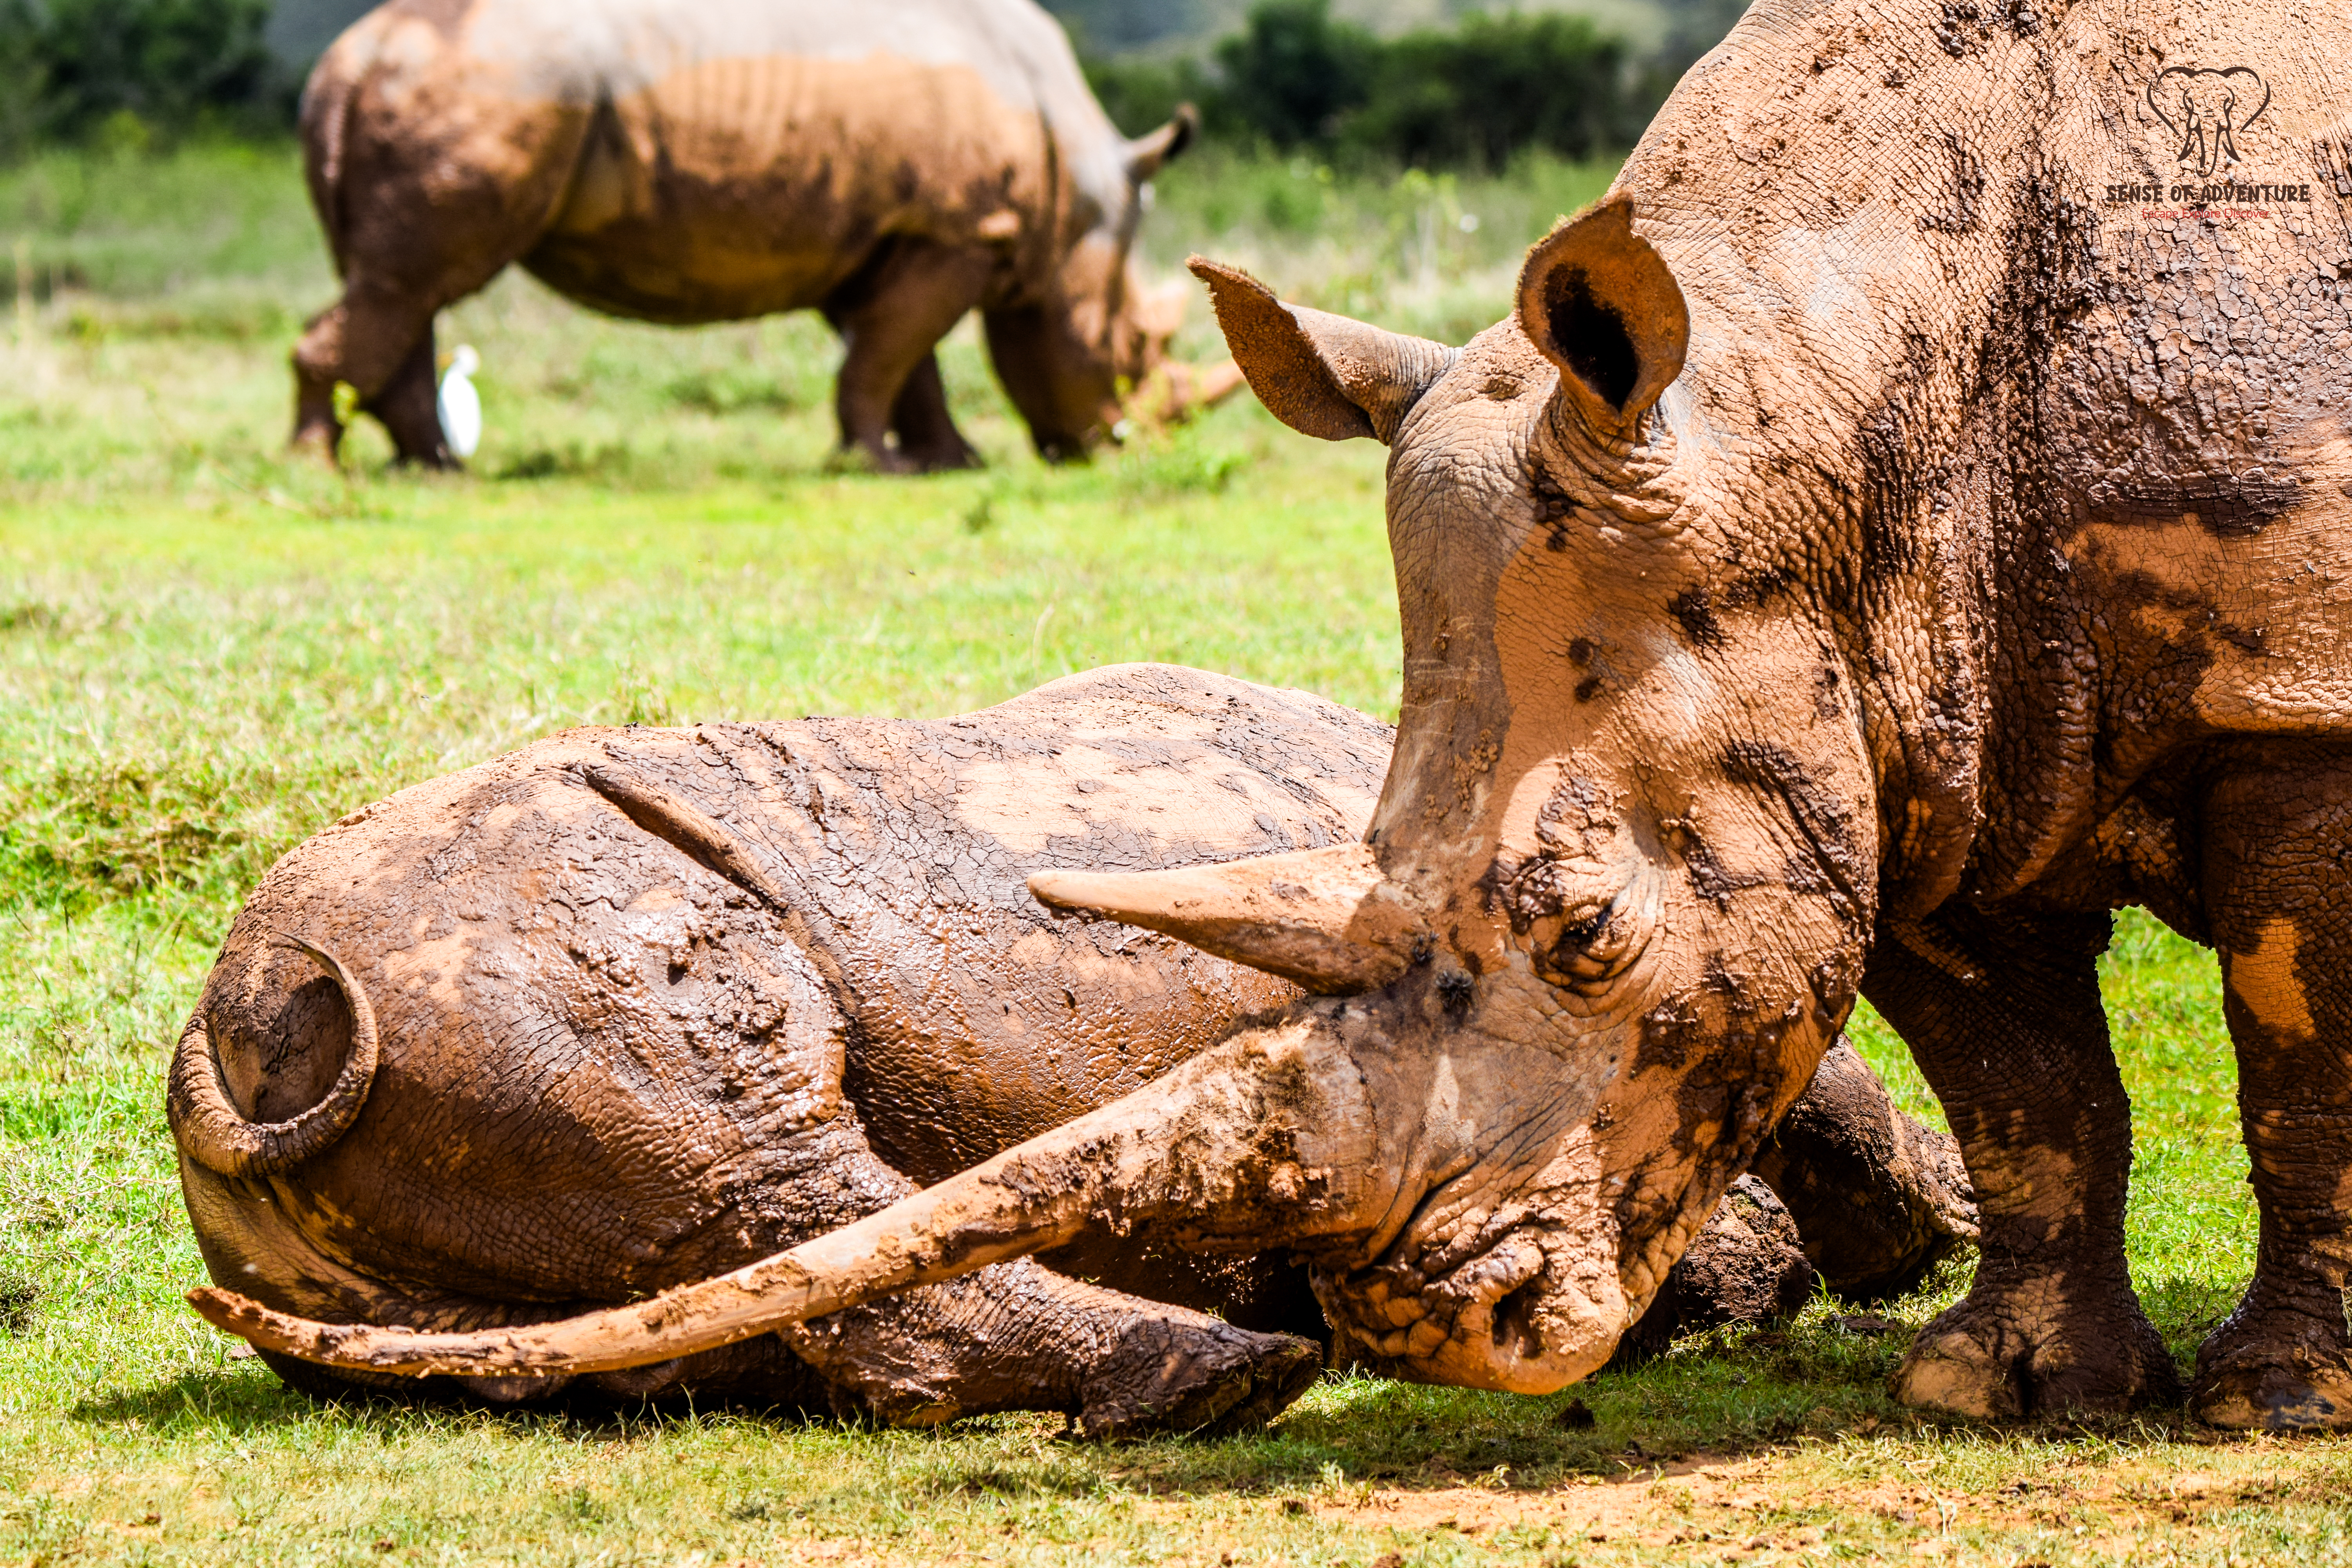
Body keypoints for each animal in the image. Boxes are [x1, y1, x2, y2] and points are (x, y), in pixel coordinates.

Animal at [171, 665, 1966, 1429]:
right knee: (764, 1157)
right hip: (509, 933)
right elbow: (1806, 1078)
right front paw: (1900, 1237)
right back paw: (1221, 1381)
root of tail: (230, 1036)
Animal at [290, 0, 1229, 472]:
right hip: (495, 82)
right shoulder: (957, 232)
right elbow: (890, 353)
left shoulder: (897, 236)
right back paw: (318, 469)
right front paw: (878, 467)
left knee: (400, 289)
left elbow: (901, 359)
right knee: (413, 284)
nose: (1129, 447)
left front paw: (950, 463)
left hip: (443, 82)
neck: (1078, 209)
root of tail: (350, 55)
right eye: (1135, 351)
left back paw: (431, 468)